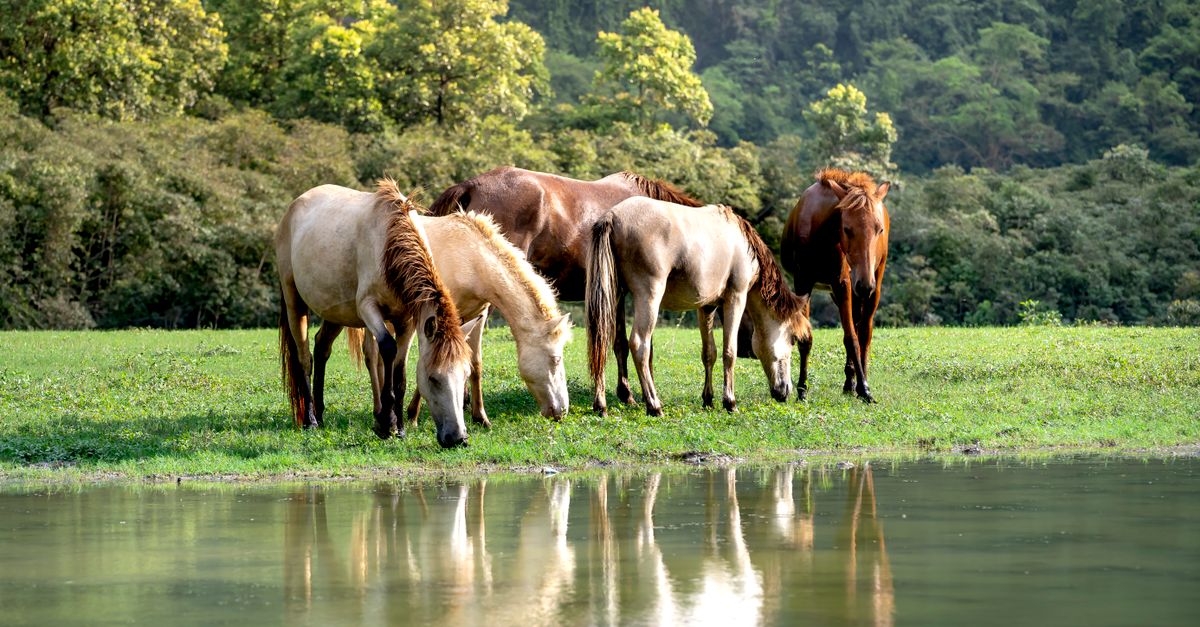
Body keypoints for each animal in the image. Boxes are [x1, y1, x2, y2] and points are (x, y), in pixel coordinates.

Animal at [276, 179, 475, 448]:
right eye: (434, 378)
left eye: (465, 375)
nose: (458, 438)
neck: (390, 246)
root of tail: (293, 207)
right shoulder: (368, 308)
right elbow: (387, 349)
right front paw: (386, 424)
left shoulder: (407, 321)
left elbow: (400, 372)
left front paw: (398, 428)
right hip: (294, 301)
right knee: (304, 358)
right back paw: (310, 420)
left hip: (336, 312)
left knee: (322, 347)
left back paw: (320, 412)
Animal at [345, 210, 573, 427]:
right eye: (556, 359)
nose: (562, 411)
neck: (470, 259)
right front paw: (413, 414)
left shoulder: (477, 316)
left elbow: (475, 363)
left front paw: (480, 417)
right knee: (372, 356)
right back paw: (380, 411)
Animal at [586, 198, 811, 416]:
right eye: (792, 339)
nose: (785, 391)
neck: (743, 244)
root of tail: (612, 216)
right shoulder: (736, 298)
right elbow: (730, 351)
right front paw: (729, 402)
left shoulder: (706, 307)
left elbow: (709, 353)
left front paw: (708, 400)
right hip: (648, 297)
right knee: (640, 345)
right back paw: (654, 405)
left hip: (613, 298)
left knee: (602, 342)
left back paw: (601, 405)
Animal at [781, 168, 891, 403]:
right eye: (847, 229)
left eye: (879, 229)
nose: (865, 284)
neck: (821, 233)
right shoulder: (803, 283)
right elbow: (806, 337)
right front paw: (802, 389)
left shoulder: (843, 284)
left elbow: (852, 338)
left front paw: (865, 389)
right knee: (857, 326)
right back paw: (850, 382)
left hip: (870, 286)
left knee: (864, 332)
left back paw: (859, 380)